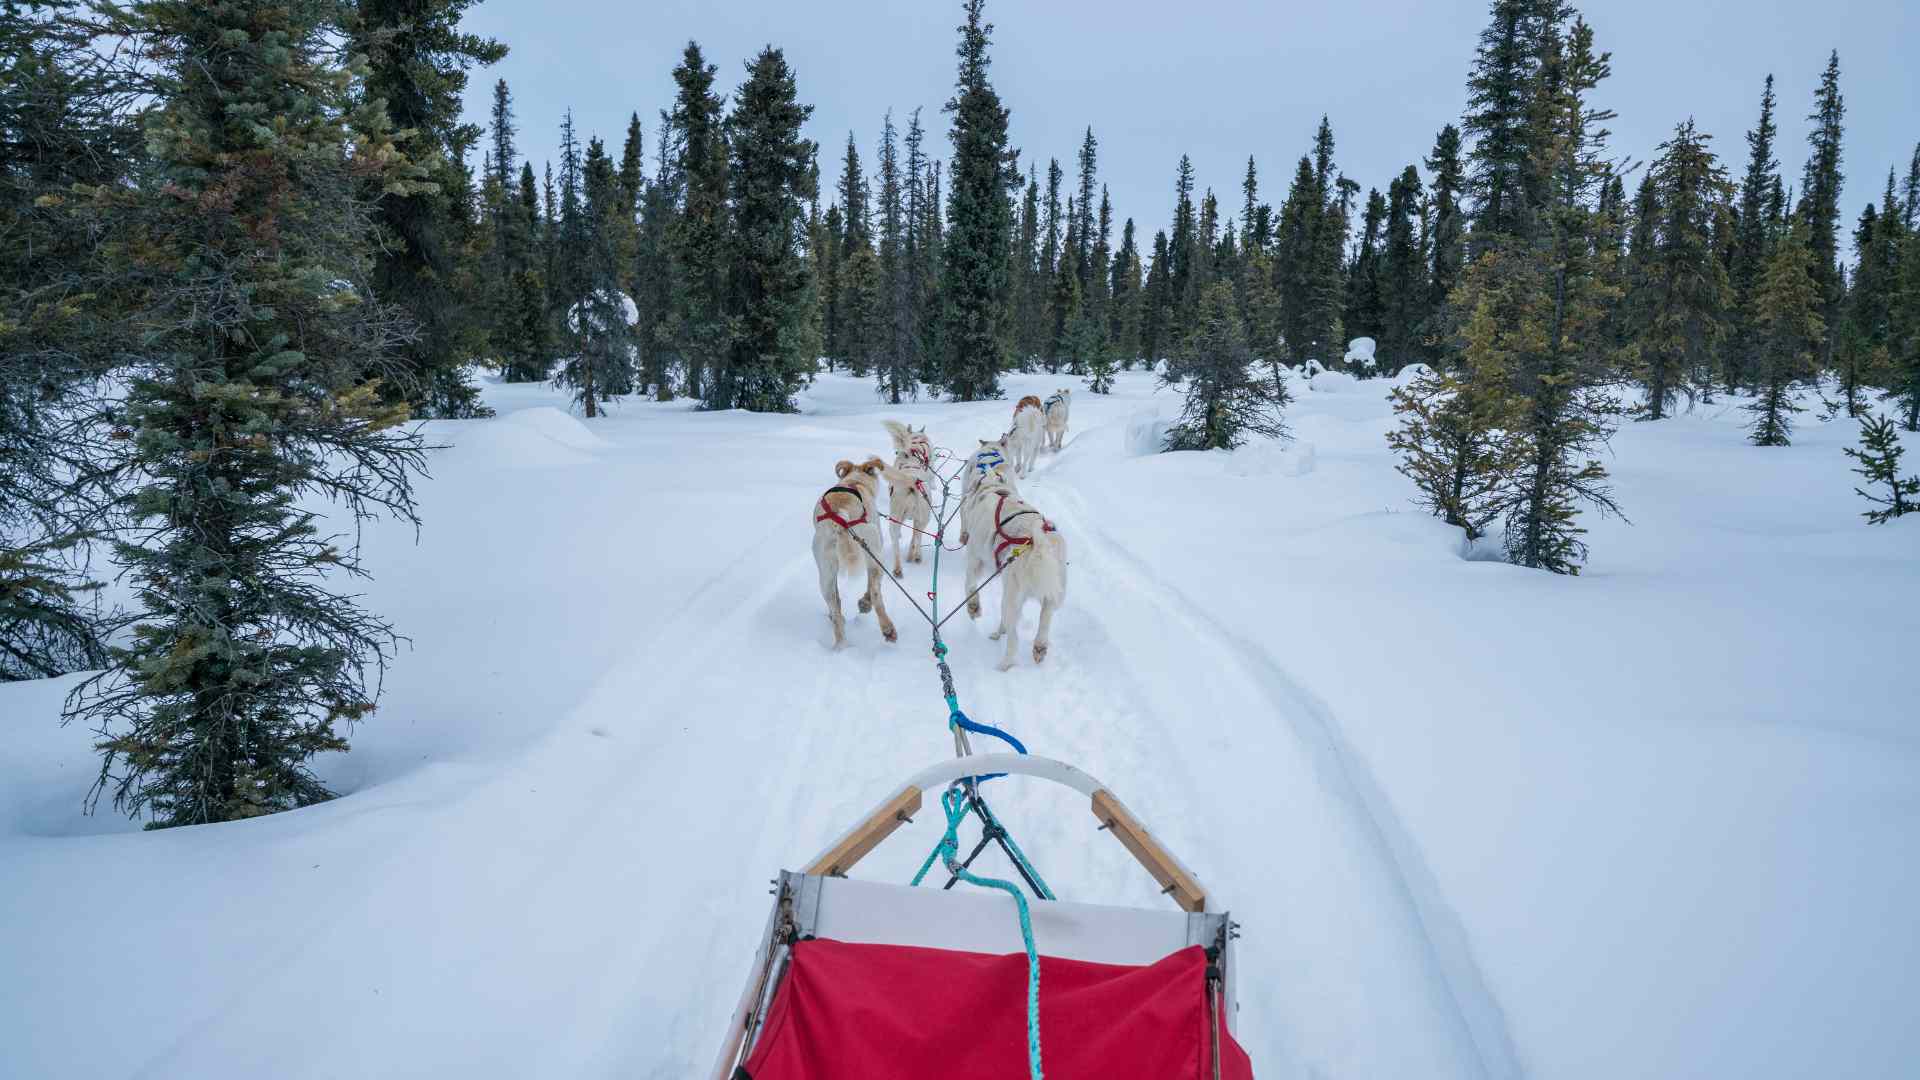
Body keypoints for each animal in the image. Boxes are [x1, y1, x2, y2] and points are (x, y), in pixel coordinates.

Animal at [810, 453, 898, 645]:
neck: (855, 481)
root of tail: (840, 516)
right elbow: (871, 587)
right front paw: (865, 603)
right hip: (874, 551)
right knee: (875, 593)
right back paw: (886, 627)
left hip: (825, 572)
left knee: (834, 607)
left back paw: (840, 643)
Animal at [879, 418, 936, 572]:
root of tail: (911, 482)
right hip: (923, 518)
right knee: (916, 537)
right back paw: (914, 556)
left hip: (897, 519)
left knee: (899, 542)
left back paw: (900, 566)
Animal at [960, 468, 1067, 664]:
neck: (994, 488)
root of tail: (1038, 545)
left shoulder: (974, 557)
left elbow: (970, 586)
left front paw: (974, 608)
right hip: (1051, 594)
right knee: (1043, 623)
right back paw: (1038, 646)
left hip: (1011, 597)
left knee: (1013, 640)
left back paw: (1003, 664)